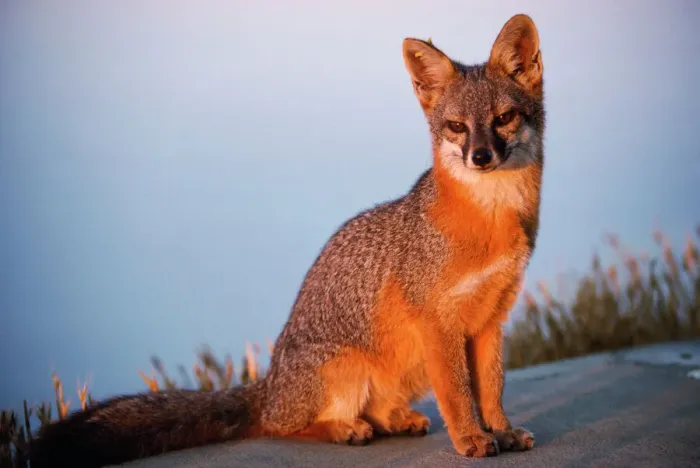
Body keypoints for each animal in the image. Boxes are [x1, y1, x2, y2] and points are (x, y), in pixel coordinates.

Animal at [30, 13, 545, 467]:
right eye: (456, 127)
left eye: (503, 118)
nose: (480, 157)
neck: (490, 222)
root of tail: (269, 385)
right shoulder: (439, 324)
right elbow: (458, 395)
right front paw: (472, 439)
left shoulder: (490, 319)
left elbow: (492, 388)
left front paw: (501, 432)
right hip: (348, 370)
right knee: (286, 426)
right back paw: (344, 428)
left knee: (369, 411)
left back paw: (394, 419)